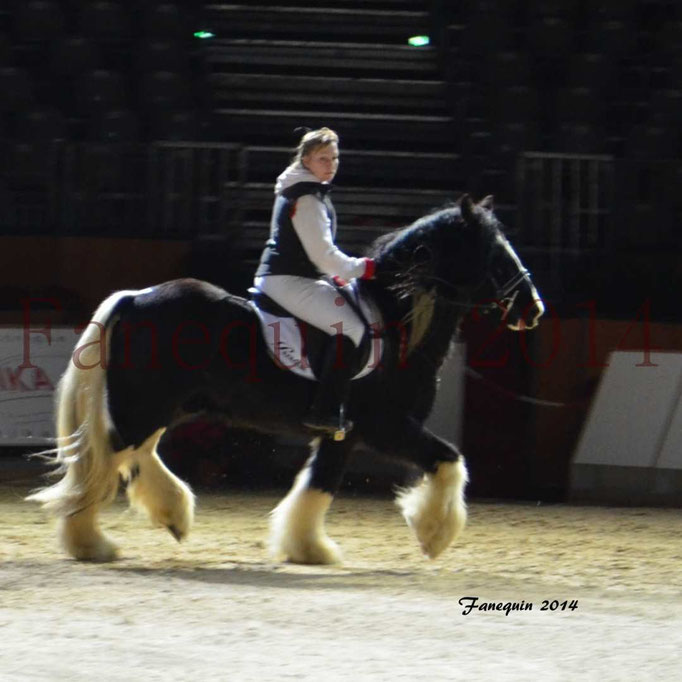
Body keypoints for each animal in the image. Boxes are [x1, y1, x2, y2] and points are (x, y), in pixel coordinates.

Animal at [29, 194, 544, 560]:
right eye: (498, 257)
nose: (534, 309)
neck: (396, 319)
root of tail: (135, 297)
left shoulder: (343, 434)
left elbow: (318, 486)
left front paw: (308, 549)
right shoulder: (386, 427)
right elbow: (450, 460)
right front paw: (434, 534)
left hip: (161, 406)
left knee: (133, 457)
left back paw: (171, 514)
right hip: (144, 407)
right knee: (102, 464)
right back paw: (89, 543)